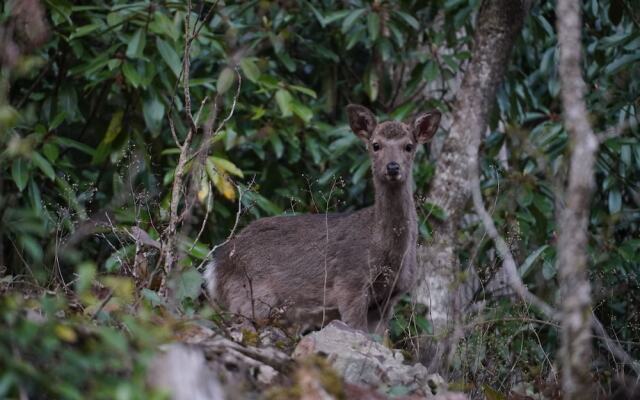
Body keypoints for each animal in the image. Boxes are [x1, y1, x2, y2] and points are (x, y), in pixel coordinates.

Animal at [205, 104, 440, 332]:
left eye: (409, 146)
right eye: (375, 145)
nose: (392, 167)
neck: (385, 252)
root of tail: (215, 267)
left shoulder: (389, 298)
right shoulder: (349, 284)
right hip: (250, 296)